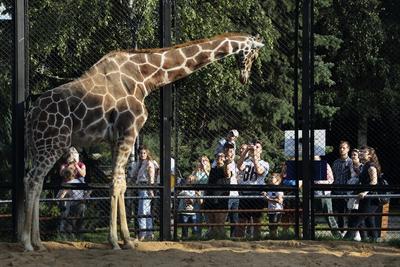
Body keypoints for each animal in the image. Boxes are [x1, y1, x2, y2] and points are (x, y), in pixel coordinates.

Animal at [22, 33, 266, 251]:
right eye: (253, 54)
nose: (245, 77)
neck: (144, 78)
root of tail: (31, 113)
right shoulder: (129, 131)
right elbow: (117, 184)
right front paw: (116, 242)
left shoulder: (116, 138)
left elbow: (122, 184)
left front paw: (127, 240)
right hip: (54, 142)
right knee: (33, 180)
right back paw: (27, 243)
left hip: (39, 145)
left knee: (35, 180)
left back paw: (38, 242)